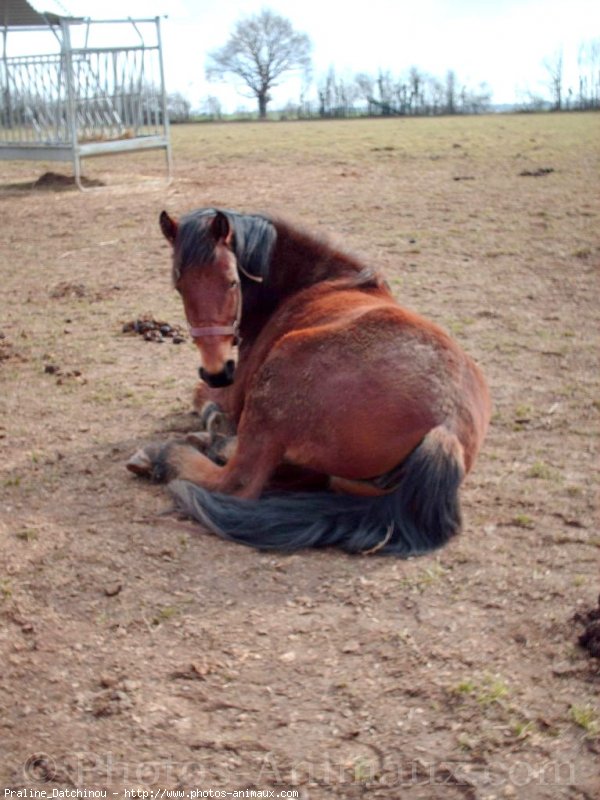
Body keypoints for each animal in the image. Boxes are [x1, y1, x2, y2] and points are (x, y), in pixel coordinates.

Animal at [127, 208, 492, 556]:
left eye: (232, 282)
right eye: (179, 287)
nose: (217, 370)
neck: (316, 281)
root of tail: (446, 428)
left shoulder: (234, 393)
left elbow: (202, 397)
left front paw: (212, 419)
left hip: (276, 381)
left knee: (237, 482)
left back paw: (166, 455)